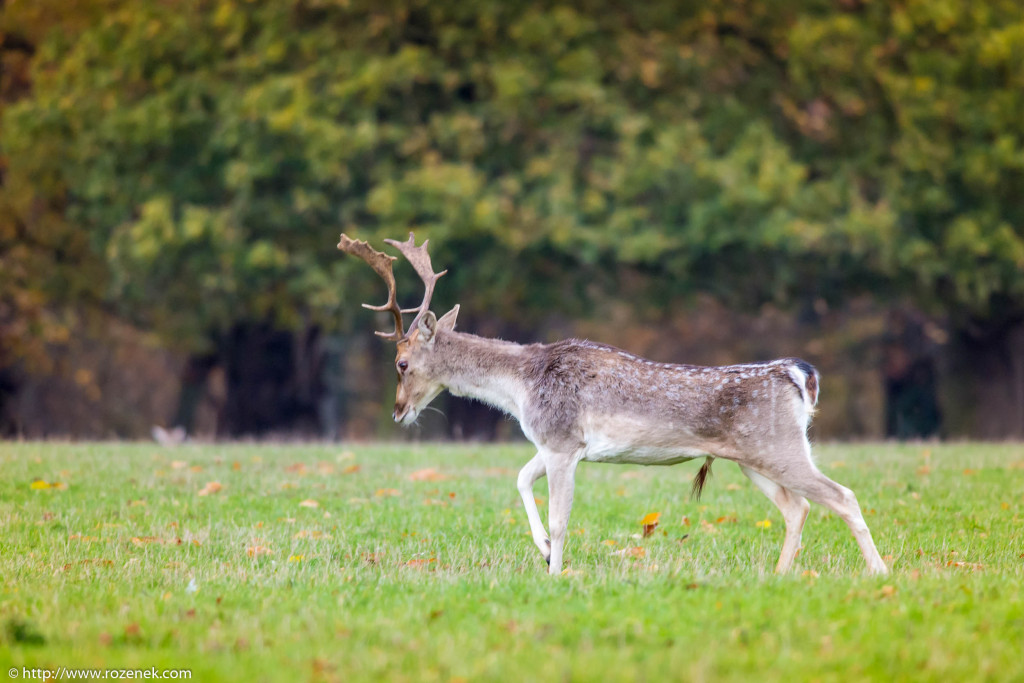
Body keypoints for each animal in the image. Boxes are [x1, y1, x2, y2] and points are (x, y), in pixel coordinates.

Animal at [337, 232, 888, 573]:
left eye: (401, 363)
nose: (398, 411)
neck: (520, 386)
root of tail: (799, 375)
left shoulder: (561, 442)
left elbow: (561, 517)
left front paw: (555, 572)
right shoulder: (555, 442)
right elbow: (519, 478)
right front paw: (542, 553)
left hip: (779, 448)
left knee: (841, 495)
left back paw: (880, 574)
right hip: (753, 458)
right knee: (798, 507)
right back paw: (778, 574)